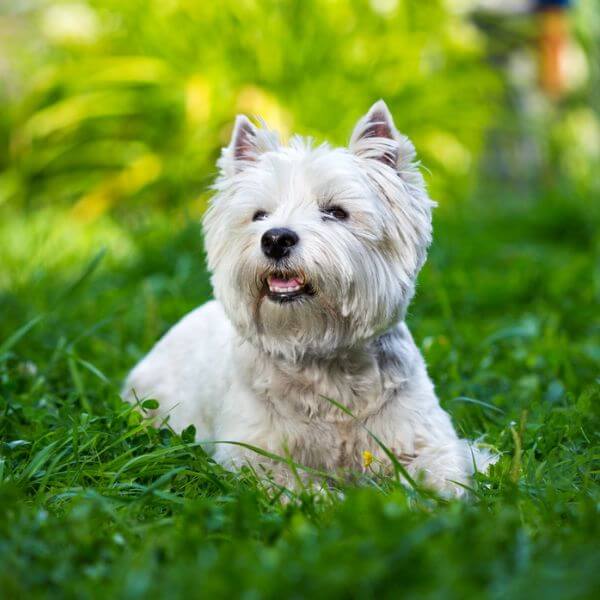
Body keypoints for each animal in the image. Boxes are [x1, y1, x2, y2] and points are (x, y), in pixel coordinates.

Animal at [123, 101, 496, 494]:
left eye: (336, 212)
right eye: (259, 215)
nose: (275, 239)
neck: (323, 358)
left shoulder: (425, 437)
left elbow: (447, 474)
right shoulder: (253, 454)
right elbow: (296, 487)